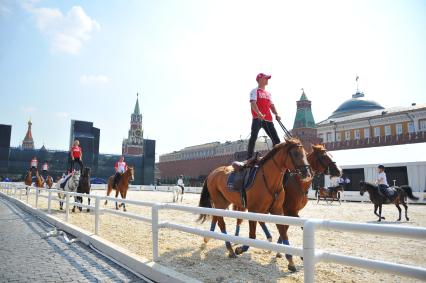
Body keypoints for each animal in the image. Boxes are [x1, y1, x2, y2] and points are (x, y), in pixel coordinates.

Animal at [198, 140, 312, 272]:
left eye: (305, 153)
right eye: (295, 154)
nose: (307, 173)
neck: (268, 180)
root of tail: (212, 173)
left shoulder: (278, 211)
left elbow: (283, 231)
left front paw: (290, 260)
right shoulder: (254, 210)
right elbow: (252, 236)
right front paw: (240, 249)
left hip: (224, 202)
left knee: (216, 218)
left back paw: (209, 238)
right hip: (220, 203)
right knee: (222, 224)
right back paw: (230, 249)